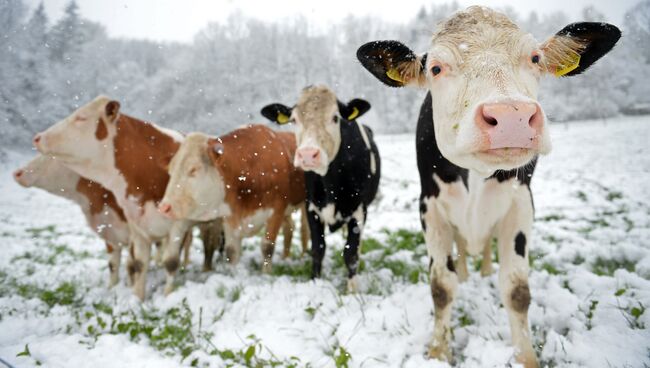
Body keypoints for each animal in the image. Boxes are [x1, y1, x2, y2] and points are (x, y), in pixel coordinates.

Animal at [32, 96, 218, 300]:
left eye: (81, 117)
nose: (38, 137)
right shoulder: (136, 225)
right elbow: (139, 264)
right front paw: (137, 299)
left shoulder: (179, 223)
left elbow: (170, 262)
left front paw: (168, 295)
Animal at [158, 125, 308, 272]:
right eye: (171, 170)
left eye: (194, 169)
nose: (164, 207)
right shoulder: (231, 216)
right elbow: (232, 252)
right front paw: (233, 274)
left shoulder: (277, 210)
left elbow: (267, 248)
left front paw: (266, 274)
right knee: (289, 227)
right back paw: (285, 257)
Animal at [258, 85, 380, 292]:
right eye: (294, 119)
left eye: (335, 117)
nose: (308, 154)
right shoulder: (312, 208)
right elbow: (318, 248)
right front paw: (315, 282)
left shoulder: (359, 211)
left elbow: (351, 253)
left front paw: (352, 291)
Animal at [356, 6, 620, 368]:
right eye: (436, 68)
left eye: (535, 58)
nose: (512, 117)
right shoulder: (430, 207)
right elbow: (441, 286)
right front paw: (438, 351)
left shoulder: (521, 204)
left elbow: (517, 290)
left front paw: (526, 358)